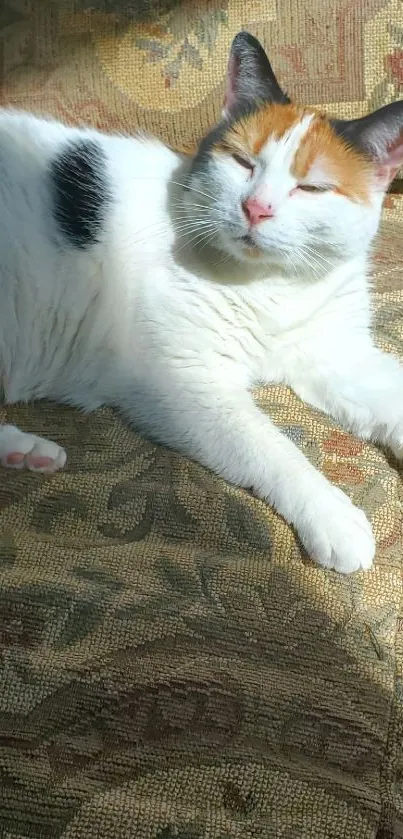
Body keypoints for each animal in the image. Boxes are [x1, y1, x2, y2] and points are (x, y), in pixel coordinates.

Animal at [0, 31, 403, 572]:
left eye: (311, 187)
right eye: (243, 163)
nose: (256, 208)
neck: (274, 286)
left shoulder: (339, 356)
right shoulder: (183, 381)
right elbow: (271, 448)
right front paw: (331, 513)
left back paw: (24, 453)